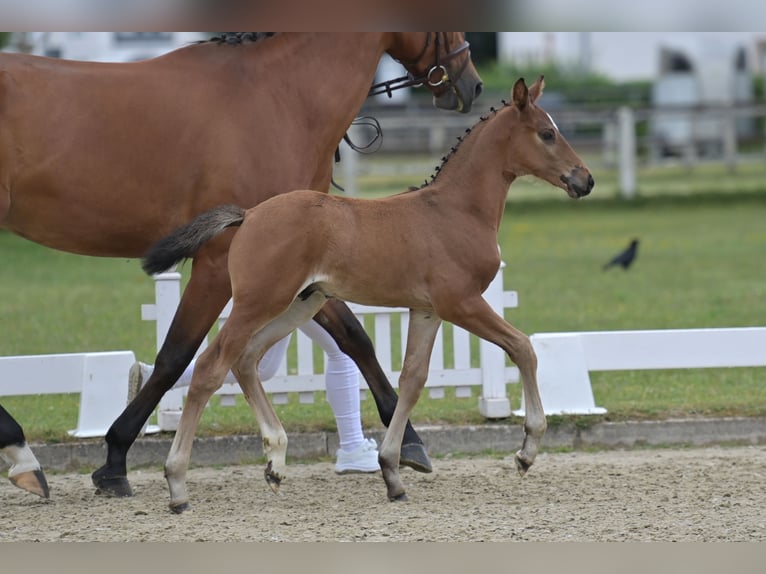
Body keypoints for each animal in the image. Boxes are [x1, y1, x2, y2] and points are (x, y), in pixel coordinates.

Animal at [0, 32, 483, 499]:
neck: (281, 97)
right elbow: (176, 355)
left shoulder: (305, 270)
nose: (470, 84)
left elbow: (354, 337)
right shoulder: (222, 265)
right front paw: (116, 460)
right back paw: (23, 455)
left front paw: (409, 442)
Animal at [140, 75, 594, 511]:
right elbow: (522, 347)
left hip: (300, 304)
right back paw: (177, 484)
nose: (585, 180)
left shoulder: (427, 311)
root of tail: (249, 215)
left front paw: (392, 473)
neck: (455, 210)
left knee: (246, 360)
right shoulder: (461, 303)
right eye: (547, 133)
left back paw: (275, 462)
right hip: (259, 303)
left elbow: (412, 379)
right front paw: (527, 451)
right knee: (210, 367)